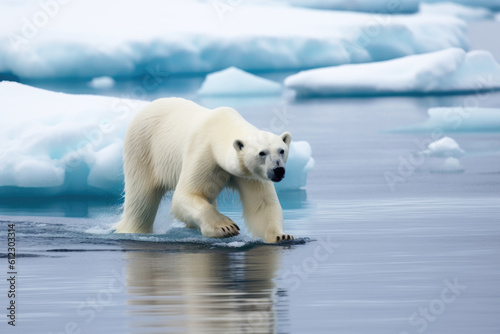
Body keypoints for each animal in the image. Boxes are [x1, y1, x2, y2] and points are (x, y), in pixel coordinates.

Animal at [114, 96, 292, 243]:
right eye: (262, 153)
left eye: (281, 150)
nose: (278, 170)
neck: (222, 128)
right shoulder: (204, 153)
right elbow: (186, 195)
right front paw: (225, 227)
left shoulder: (250, 174)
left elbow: (262, 204)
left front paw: (281, 236)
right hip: (142, 150)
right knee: (141, 200)